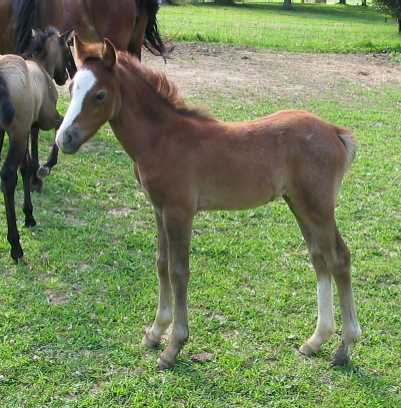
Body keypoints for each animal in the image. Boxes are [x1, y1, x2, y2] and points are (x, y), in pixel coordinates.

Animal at [0, 27, 65, 262]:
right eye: (68, 48)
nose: (65, 77)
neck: (41, 69)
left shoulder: (27, 128)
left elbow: (26, 166)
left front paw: (28, 214)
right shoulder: (42, 120)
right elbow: (61, 125)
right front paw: (46, 166)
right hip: (17, 134)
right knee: (8, 176)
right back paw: (15, 246)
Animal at [55, 39, 360, 370]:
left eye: (99, 95)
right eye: (71, 88)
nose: (64, 139)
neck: (162, 139)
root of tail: (335, 131)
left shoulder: (179, 211)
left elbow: (179, 271)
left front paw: (173, 346)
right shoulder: (159, 209)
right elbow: (161, 264)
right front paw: (155, 332)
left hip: (318, 206)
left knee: (339, 258)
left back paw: (344, 346)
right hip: (299, 203)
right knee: (319, 257)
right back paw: (315, 341)